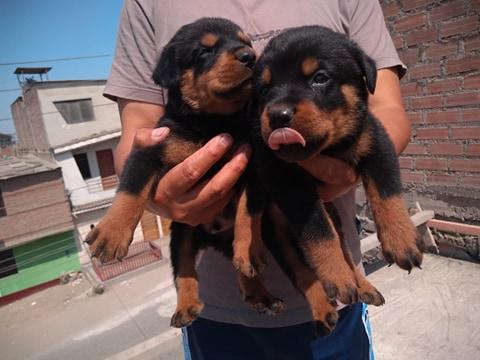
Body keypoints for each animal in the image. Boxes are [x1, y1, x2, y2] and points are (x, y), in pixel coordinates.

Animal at [85, 19, 284, 330]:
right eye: (205, 51)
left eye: (247, 43)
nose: (249, 56)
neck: (213, 122)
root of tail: (216, 238)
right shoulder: (150, 150)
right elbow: (131, 189)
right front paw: (111, 233)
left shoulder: (250, 166)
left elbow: (246, 211)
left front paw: (248, 246)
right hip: (182, 236)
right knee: (184, 272)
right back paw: (186, 307)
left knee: (243, 269)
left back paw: (260, 294)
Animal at [242, 26, 422, 332]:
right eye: (264, 89)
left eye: (320, 78)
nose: (277, 116)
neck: (329, 148)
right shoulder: (286, 183)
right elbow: (318, 230)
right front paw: (336, 276)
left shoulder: (376, 142)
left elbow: (387, 193)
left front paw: (402, 241)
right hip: (276, 231)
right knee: (303, 274)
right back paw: (327, 303)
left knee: (346, 251)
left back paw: (363, 286)